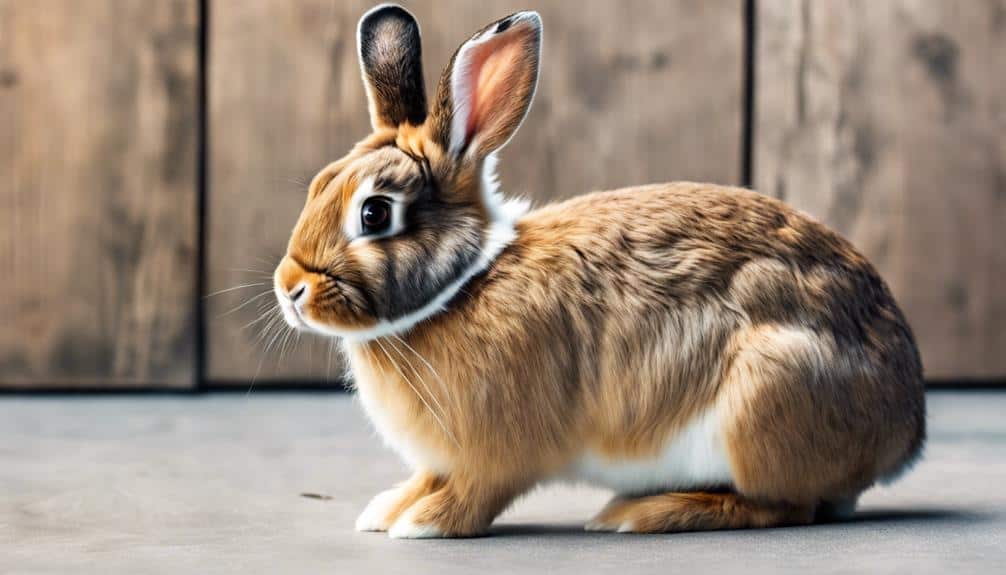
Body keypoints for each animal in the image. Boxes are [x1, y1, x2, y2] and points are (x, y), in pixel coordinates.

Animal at [273, 4, 925, 538]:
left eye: (375, 213)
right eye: (318, 185)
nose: (290, 291)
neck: (461, 287)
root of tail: (904, 428)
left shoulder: (496, 452)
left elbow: (477, 494)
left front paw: (426, 523)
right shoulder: (442, 456)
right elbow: (428, 477)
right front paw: (388, 509)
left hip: (764, 397)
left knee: (786, 506)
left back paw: (641, 513)